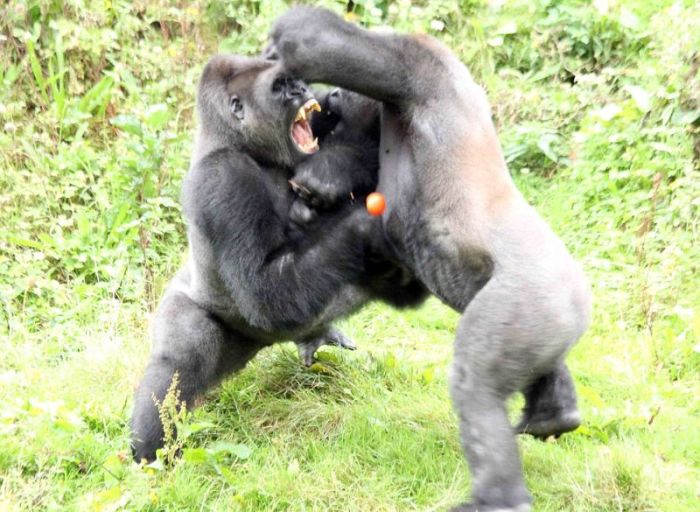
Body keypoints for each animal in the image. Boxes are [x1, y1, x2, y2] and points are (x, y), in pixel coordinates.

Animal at [132, 54, 426, 462]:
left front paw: (335, 168)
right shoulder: (223, 181)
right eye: (280, 88)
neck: (244, 145)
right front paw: (366, 225)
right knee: (179, 364)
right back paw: (149, 455)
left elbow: (372, 126)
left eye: (295, 81)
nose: (303, 90)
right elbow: (265, 293)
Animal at [268, 8, 592, 512]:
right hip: (554, 318)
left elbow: (318, 40)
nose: (330, 98)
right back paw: (555, 414)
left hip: (536, 301)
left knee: (476, 385)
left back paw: (497, 496)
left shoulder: (422, 64)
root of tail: (580, 295)